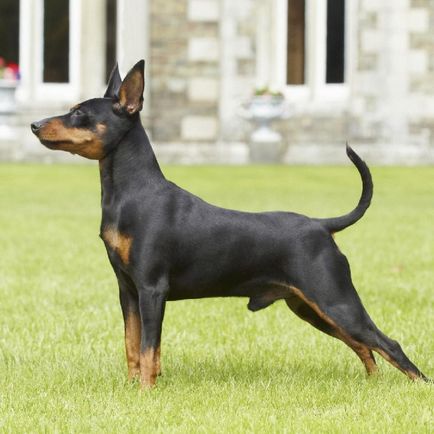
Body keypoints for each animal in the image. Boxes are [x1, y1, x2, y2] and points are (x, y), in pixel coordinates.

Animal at [29, 60, 428, 386]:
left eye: (79, 113)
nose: (34, 124)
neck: (130, 193)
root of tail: (321, 225)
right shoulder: (127, 290)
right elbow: (132, 344)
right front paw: (131, 388)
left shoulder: (152, 289)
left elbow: (148, 349)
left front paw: (145, 391)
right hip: (311, 308)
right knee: (364, 347)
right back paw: (372, 384)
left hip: (335, 300)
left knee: (387, 343)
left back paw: (418, 387)